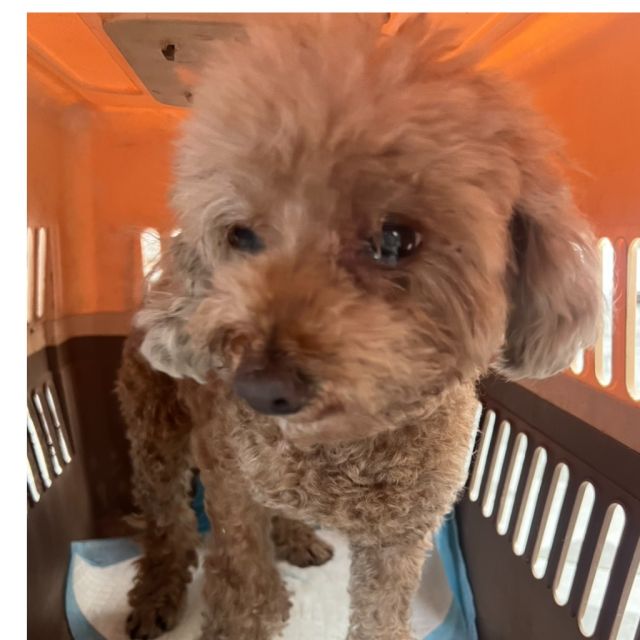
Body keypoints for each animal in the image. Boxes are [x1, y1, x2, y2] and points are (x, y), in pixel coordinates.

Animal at [116, 14, 600, 640]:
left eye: (394, 240)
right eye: (242, 237)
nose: (261, 388)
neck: (343, 447)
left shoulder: (401, 536)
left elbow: (380, 614)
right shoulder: (230, 488)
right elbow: (245, 588)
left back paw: (296, 536)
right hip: (153, 431)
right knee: (166, 520)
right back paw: (158, 591)